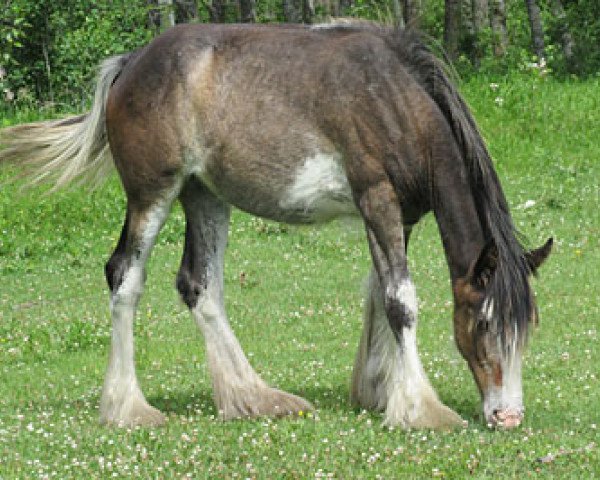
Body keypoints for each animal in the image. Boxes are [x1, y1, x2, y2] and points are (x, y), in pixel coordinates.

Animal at [1, 22, 552, 430]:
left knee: (200, 285)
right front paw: (421, 409)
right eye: (484, 324)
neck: (395, 102)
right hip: (152, 194)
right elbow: (401, 302)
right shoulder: (378, 200)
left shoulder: (401, 215)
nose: (508, 416)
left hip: (204, 195)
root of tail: (129, 65)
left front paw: (379, 391)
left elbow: (380, 292)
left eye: (526, 329)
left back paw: (253, 397)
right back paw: (128, 409)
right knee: (125, 278)